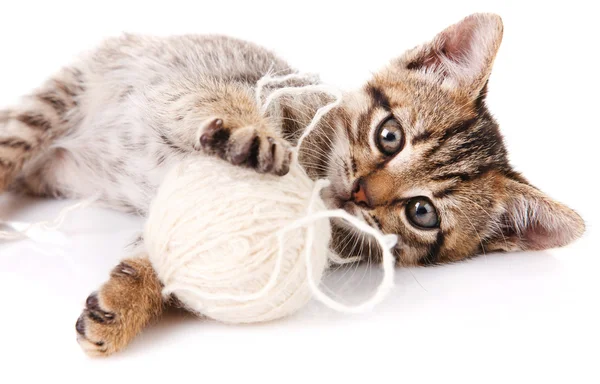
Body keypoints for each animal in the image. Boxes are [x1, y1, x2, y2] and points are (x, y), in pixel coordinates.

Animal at [0, 12, 584, 356]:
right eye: (389, 136)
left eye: (422, 213)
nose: (361, 194)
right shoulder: (194, 85)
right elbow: (223, 102)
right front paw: (252, 133)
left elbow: (170, 257)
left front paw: (125, 305)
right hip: (44, 109)